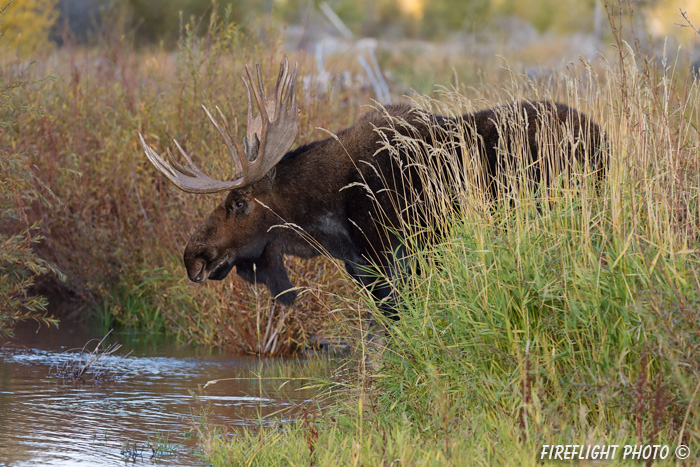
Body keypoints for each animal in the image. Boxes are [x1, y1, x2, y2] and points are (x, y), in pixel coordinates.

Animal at [141, 58, 600, 320]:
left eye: (238, 202)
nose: (192, 257)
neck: (331, 221)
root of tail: (606, 139)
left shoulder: (398, 261)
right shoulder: (368, 270)